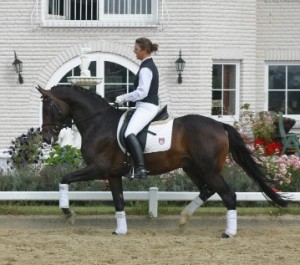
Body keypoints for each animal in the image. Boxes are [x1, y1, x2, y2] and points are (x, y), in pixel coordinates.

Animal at [37, 84, 288, 237]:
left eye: (48, 108)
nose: (47, 137)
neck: (98, 122)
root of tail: (220, 125)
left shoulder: (98, 168)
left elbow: (64, 179)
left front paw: (68, 213)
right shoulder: (113, 174)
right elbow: (118, 201)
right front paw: (121, 230)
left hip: (208, 169)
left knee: (228, 195)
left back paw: (228, 233)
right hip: (192, 168)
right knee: (207, 190)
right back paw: (184, 218)